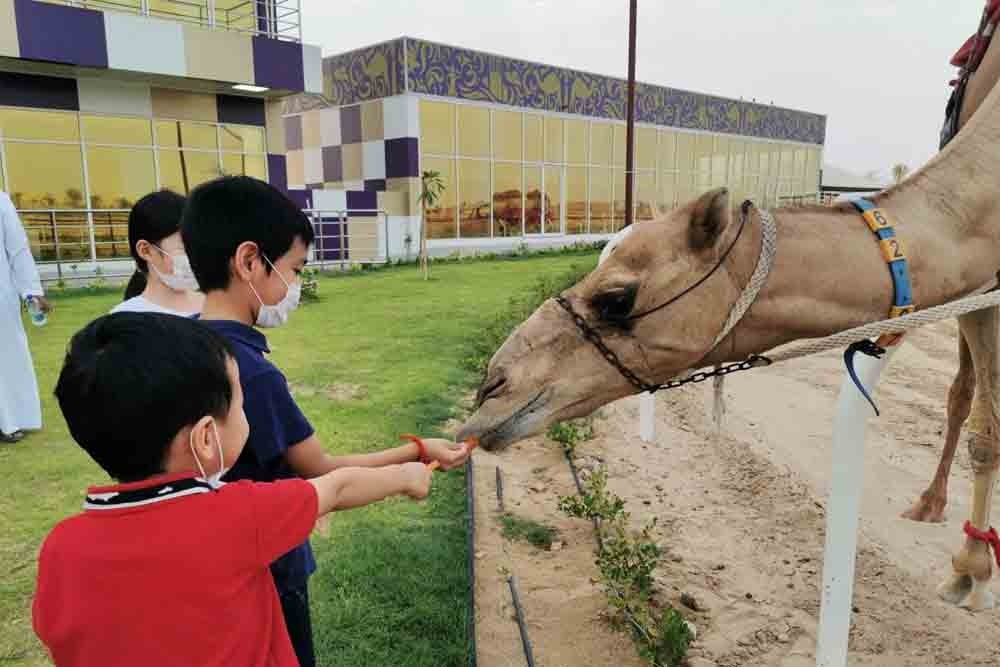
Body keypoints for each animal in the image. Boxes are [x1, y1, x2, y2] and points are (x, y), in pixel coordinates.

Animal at [458, 13, 1000, 611]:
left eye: (617, 298)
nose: (490, 389)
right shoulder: (981, 293)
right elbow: (987, 428)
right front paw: (970, 569)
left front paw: (973, 572)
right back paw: (931, 507)